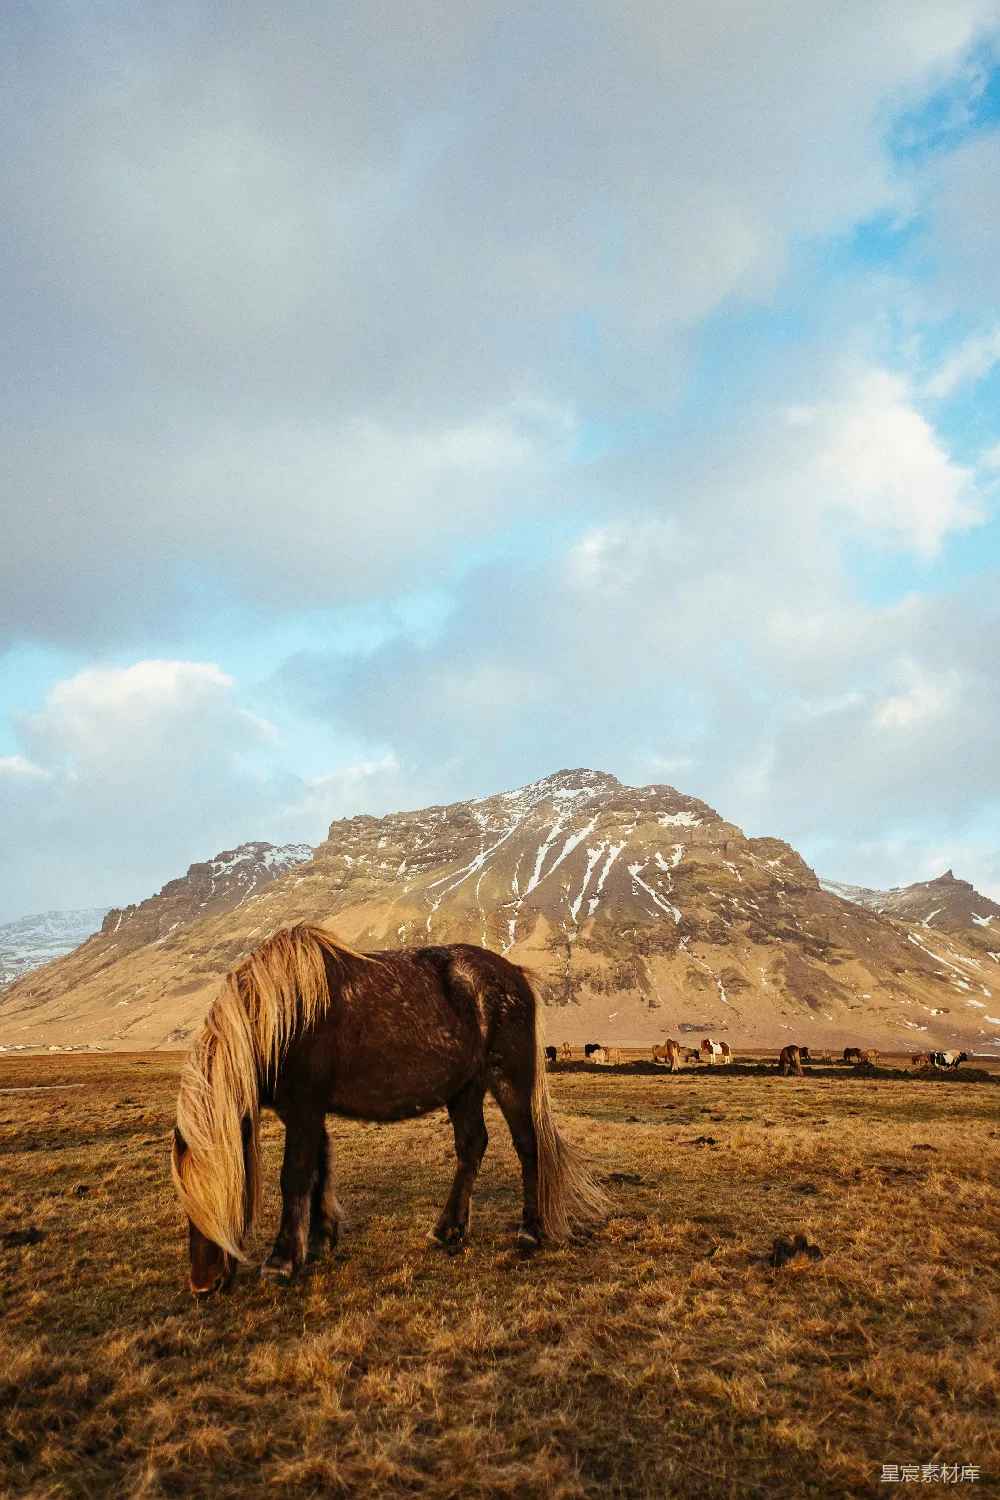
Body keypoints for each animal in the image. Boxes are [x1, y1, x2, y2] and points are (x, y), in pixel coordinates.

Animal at [171, 923, 607, 1295]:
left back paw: (528, 1233)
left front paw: (280, 1262)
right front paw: (320, 1241)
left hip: (508, 1080)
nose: (204, 1285)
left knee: (527, 1146)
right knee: (471, 1146)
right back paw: (447, 1230)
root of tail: (515, 974)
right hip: (465, 1089)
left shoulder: (304, 1108)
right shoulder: (310, 1112)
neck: (285, 1016)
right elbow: (319, 1168)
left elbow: (295, 1176)